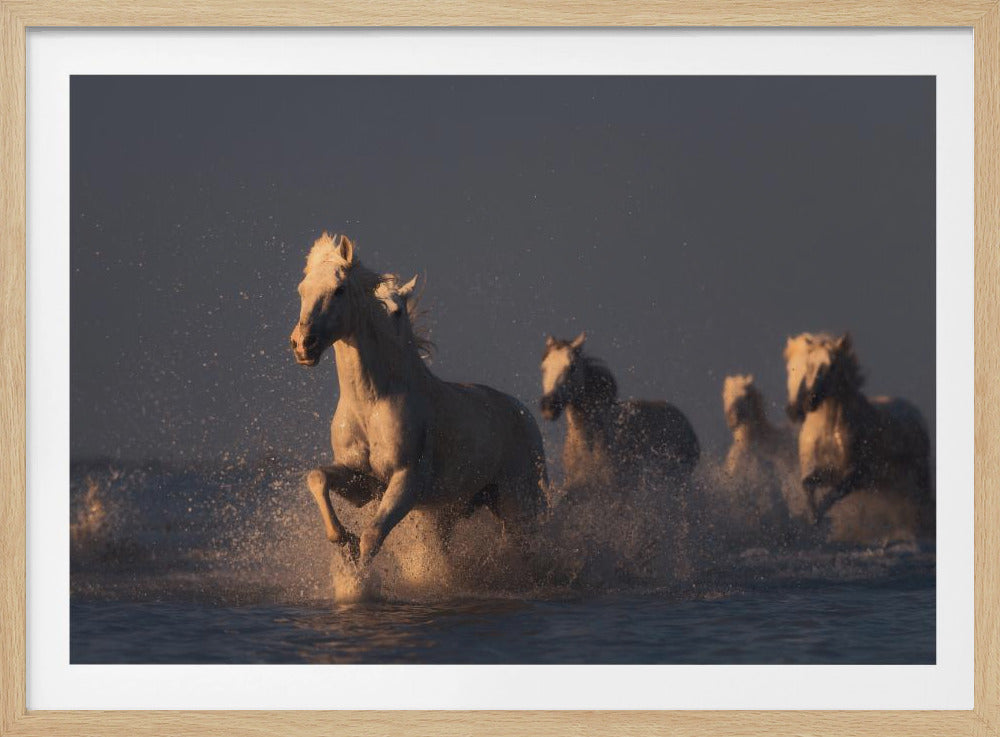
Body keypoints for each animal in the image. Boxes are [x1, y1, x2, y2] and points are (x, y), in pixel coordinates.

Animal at [290, 232, 549, 567]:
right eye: (302, 290)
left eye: (339, 289)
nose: (302, 345)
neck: (372, 402)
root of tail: (523, 413)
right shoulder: (363, 482)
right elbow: (318, 477)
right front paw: (343, 540)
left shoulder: (406, 481)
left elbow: (372, 536)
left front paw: (358, 571)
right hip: (452, 510)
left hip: (518, 501)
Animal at [783, 332, 933, 536]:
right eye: (809, 365)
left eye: (832, 365)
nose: (809, 402)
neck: (828, 431)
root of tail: (914, 410)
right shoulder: (828, 471)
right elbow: (808, 485)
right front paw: (813, 520)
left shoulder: (855, 476)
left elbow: (832, 494)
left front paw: (819, 520)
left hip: (917, 479)